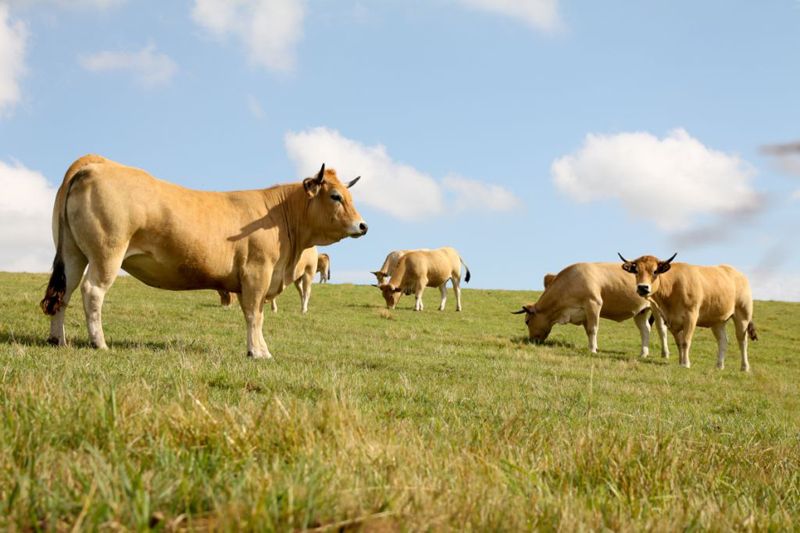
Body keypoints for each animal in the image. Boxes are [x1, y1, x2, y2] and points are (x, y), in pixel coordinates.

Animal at [512, 262, 668, 358]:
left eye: (527, 321)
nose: (531, 340)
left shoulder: (593, 304)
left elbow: (593, 329)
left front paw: (593, 350)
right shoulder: (584, 313)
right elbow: (588, 331)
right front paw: (593, 347)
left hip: (657, 309)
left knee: (661, 330)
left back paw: (664, 354)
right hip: (640, 311)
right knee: (645, 330)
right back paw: (643, 353)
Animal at [620, 252, 756, 370]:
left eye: (655, 271)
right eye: (636, 271)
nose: (643, 287)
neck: (672, 287)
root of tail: (737, 273)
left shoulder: (691, 316)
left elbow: (685, 341)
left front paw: (685, 364)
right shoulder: (671, 321)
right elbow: (679, 342)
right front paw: (680, 362)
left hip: (743, 315)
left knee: (742, 341)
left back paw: (745, 367)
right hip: (717, 321)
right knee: (723, 341)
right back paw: (719, 366)